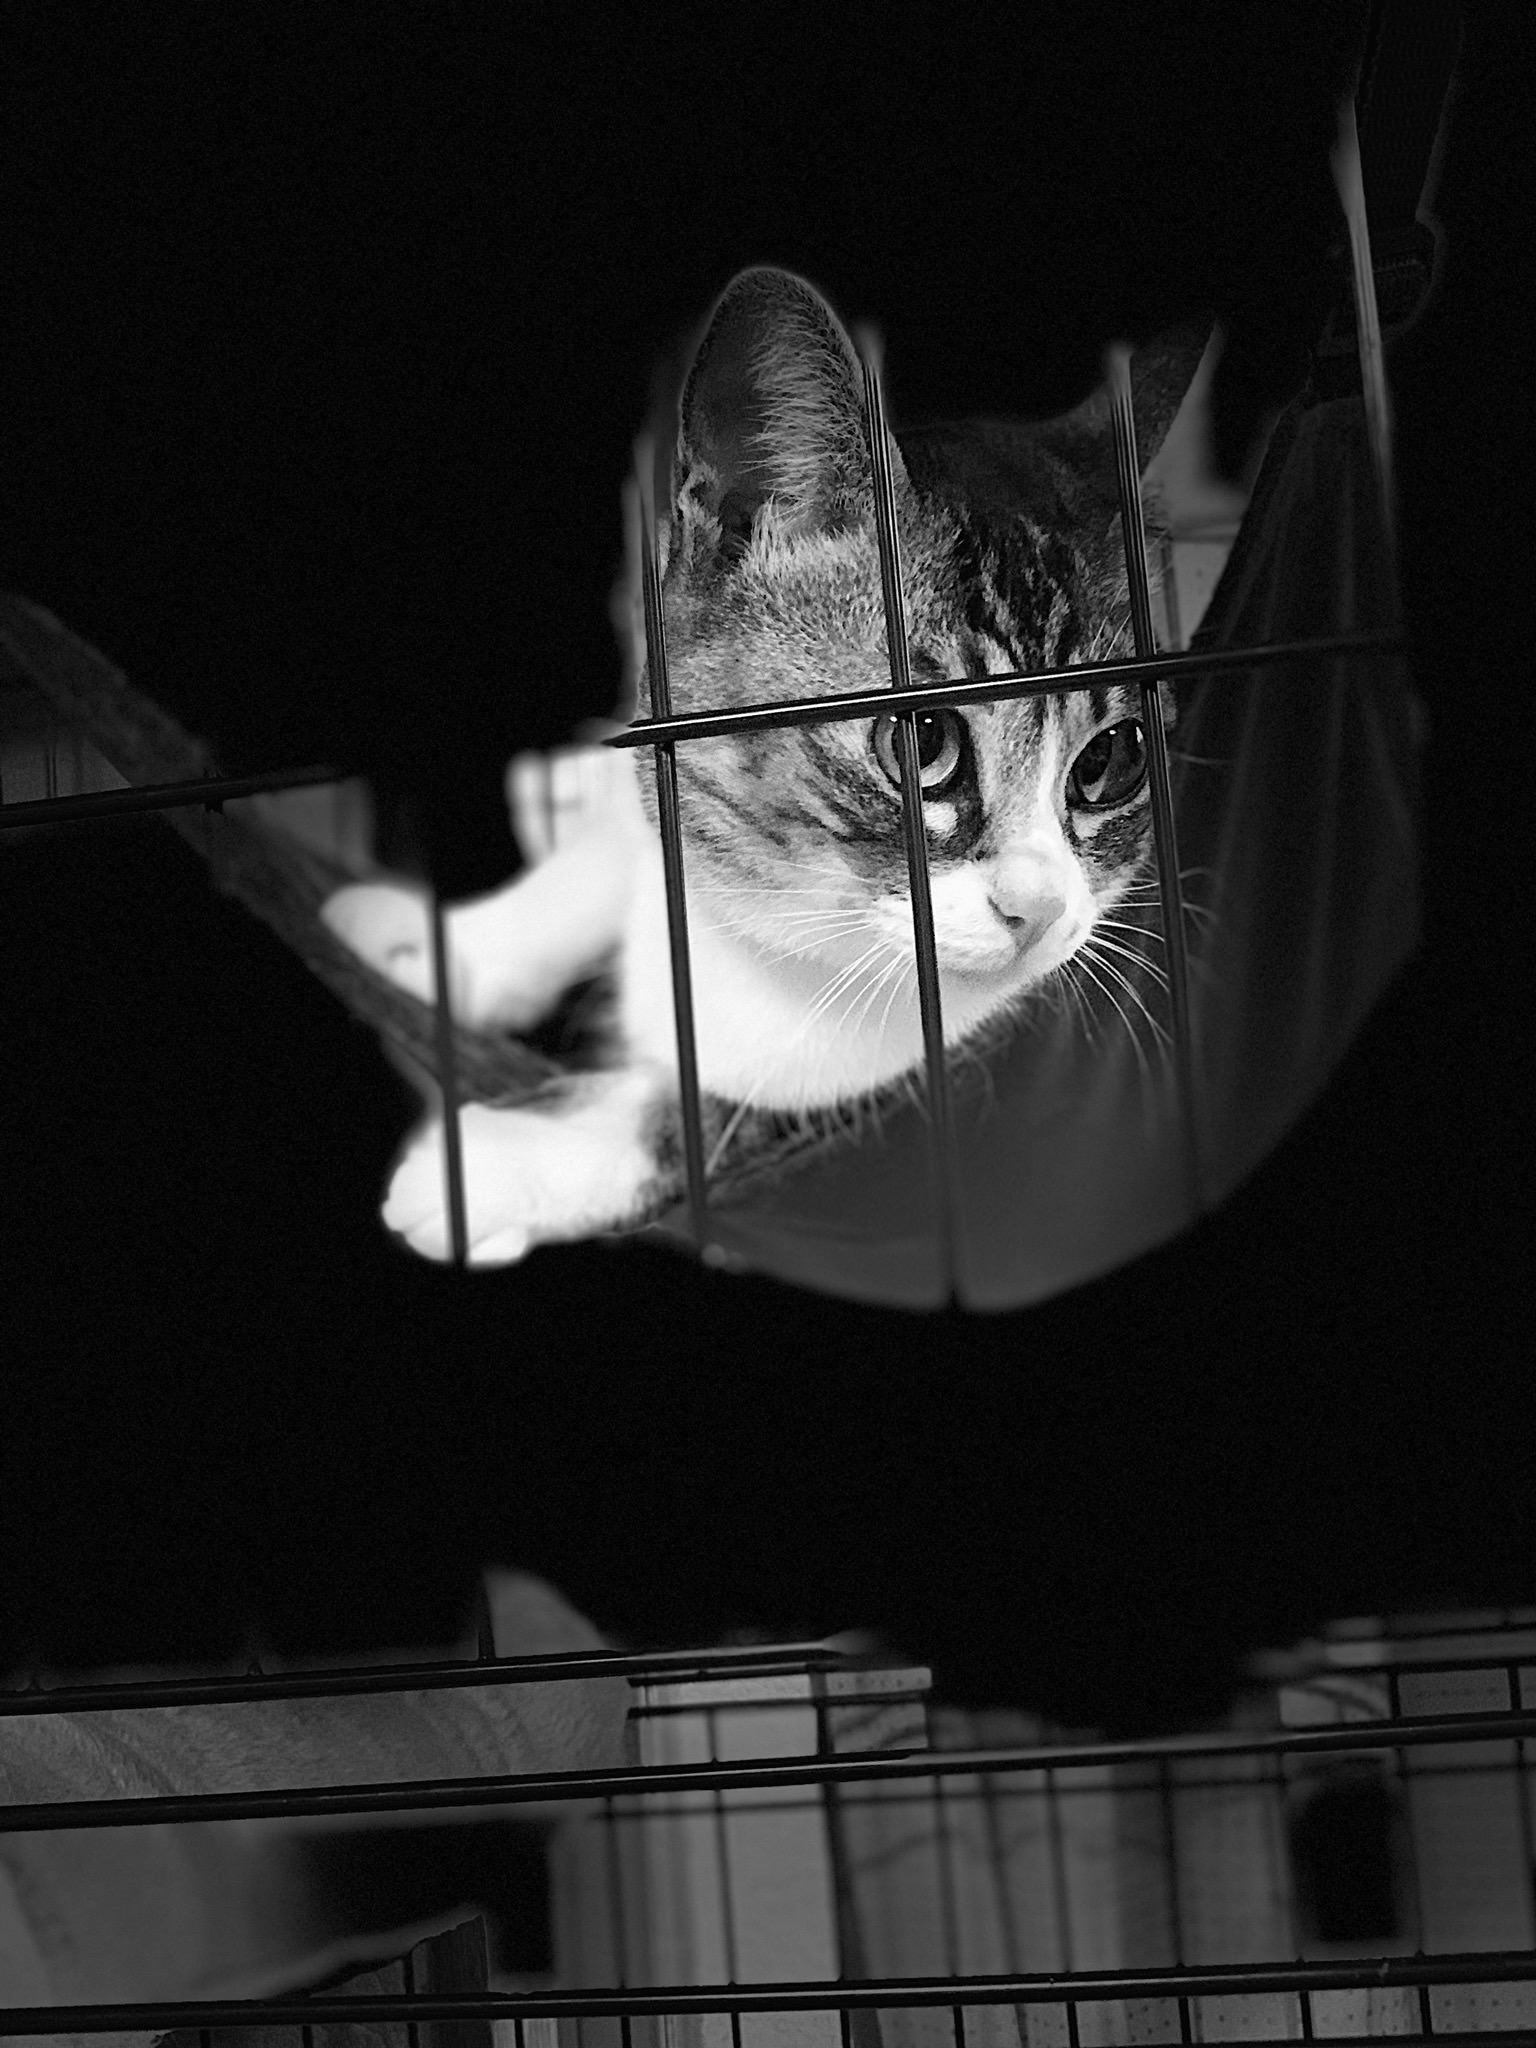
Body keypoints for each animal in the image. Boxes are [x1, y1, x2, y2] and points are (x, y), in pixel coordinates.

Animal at [321, 266, 1195, 1266]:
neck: (760, 927)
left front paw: (496, 1166)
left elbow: (721, 1116)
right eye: (922, 742)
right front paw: (441, 947)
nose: (1040, 908)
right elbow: (609, 851)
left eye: (1110, 761)